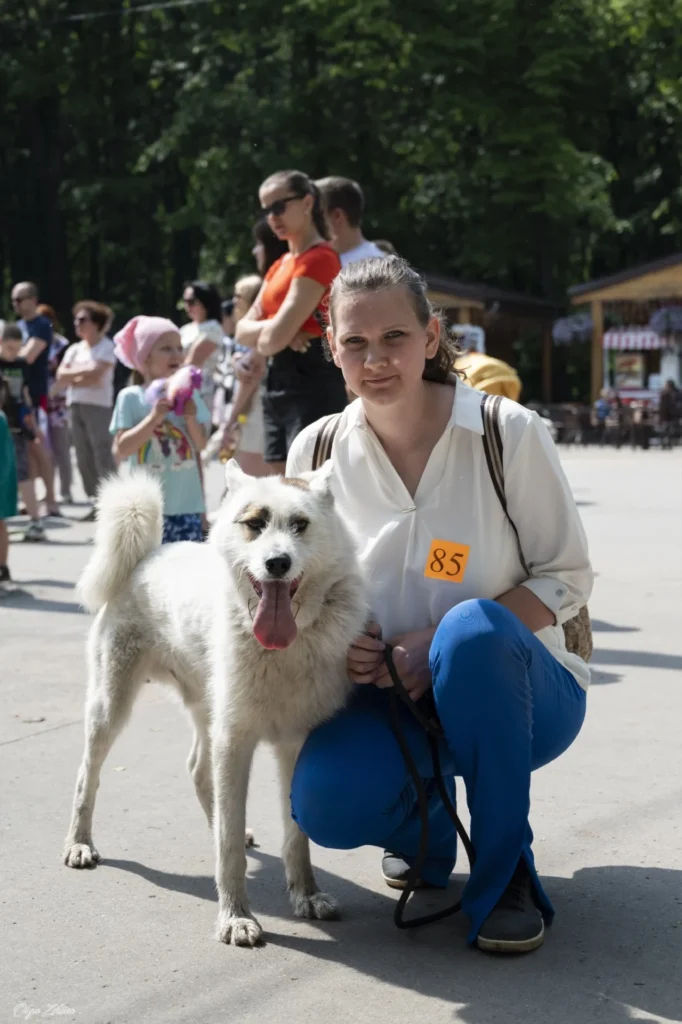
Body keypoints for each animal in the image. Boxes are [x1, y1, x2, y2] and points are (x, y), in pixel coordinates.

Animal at [63, 464, 366, 942]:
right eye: (254, 523)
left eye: (300, 524)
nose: (277, 563)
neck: (283, 648)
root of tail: (148, 555)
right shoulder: (235, 741)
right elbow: (228, 850)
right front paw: (235, 917)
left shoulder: (293, 745)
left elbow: (294, 837)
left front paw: (307, 895)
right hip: (112, 706)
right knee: (87, 776)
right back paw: (79, 842)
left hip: (208, 713)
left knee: (199, 772)